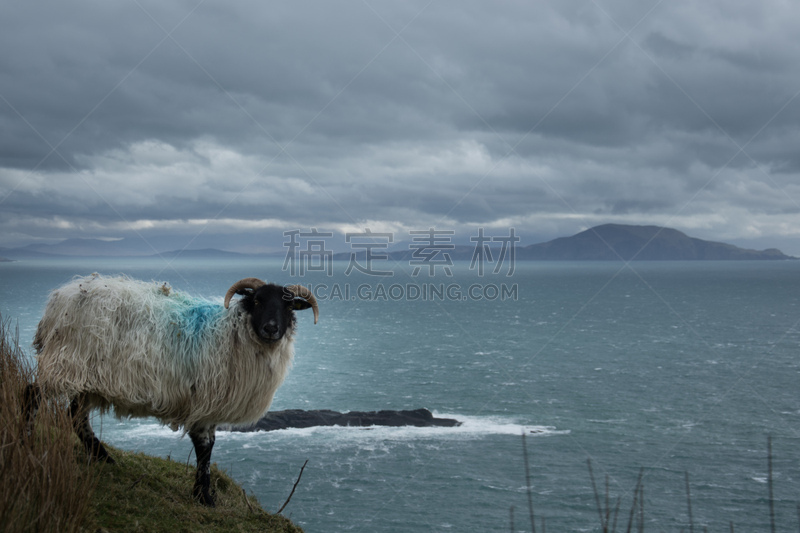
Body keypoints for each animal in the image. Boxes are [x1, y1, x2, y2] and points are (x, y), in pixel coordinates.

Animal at [25, 272, 318, 504]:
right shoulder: (202, 402)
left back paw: (102, 456)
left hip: (86, 378)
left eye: (288, 306)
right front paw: (204, 496)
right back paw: (28, 441)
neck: (231, 335)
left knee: (75, 415)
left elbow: (210, 446)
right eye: (256, 301)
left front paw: (203, 493)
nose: (271, 328)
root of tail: (59, 298)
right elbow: (204, 449)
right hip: (64, 362)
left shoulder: (211, 406)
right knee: (33, 394)